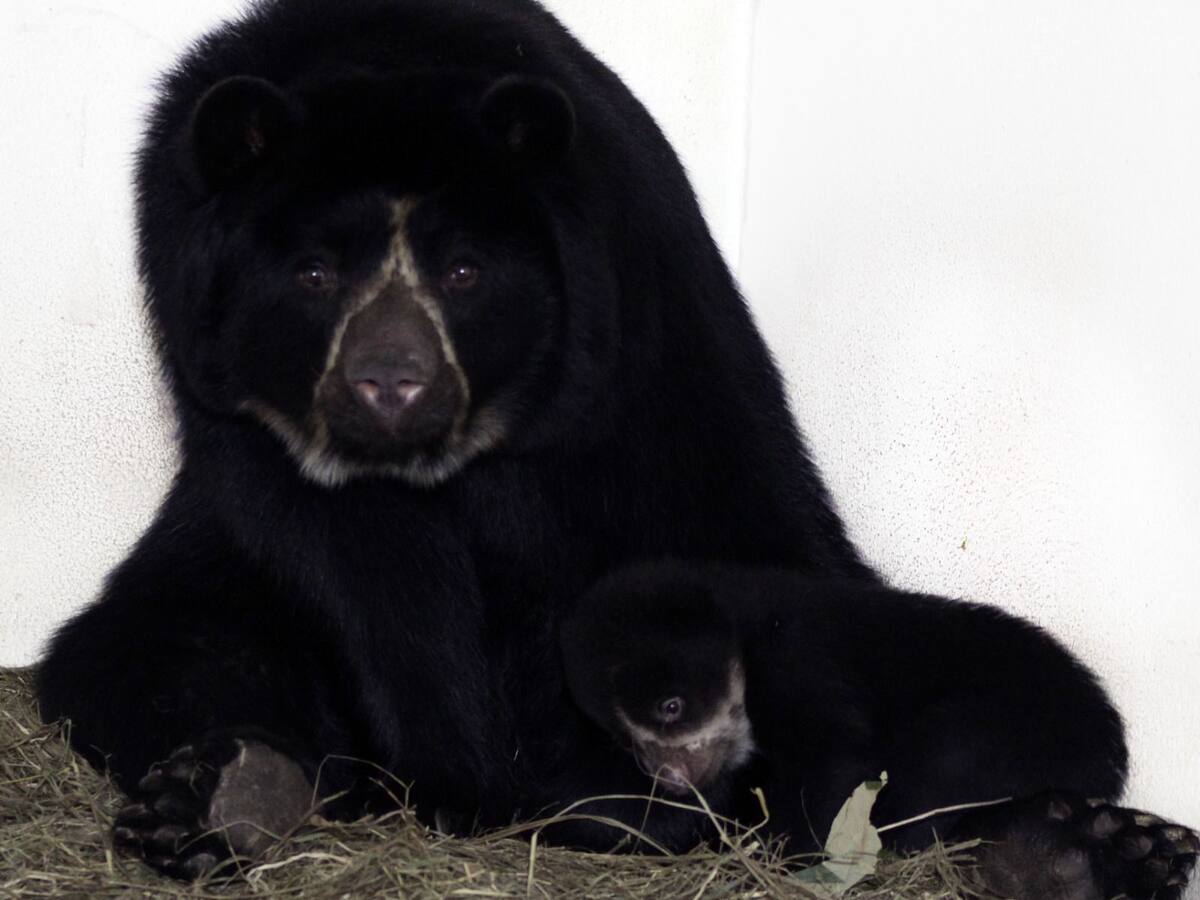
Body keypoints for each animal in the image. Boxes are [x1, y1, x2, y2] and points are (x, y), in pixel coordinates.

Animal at [561, 560, 1199, 896]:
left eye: (670, 706)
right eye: (622, 736)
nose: (665, 775)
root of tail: (1110, 750)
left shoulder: (799, 664)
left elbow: (837, 761)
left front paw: (786, 861)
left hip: (984, 734)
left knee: (927, 794)